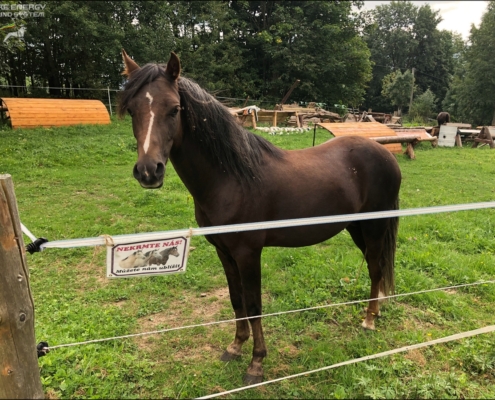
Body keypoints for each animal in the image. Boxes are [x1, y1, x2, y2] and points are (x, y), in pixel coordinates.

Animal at [118, 50, 402, 384]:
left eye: (174, 109)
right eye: (132, 110)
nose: (149, 172)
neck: (232, 179)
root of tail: (386, 154)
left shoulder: (248, 253)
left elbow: (254, 304)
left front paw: (256, 362)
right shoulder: (224, 252)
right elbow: (236, 299)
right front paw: (235, 346)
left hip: (374, 227)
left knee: (375, 268)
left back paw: (369, 320)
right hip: (356, 228)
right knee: (375, 266)